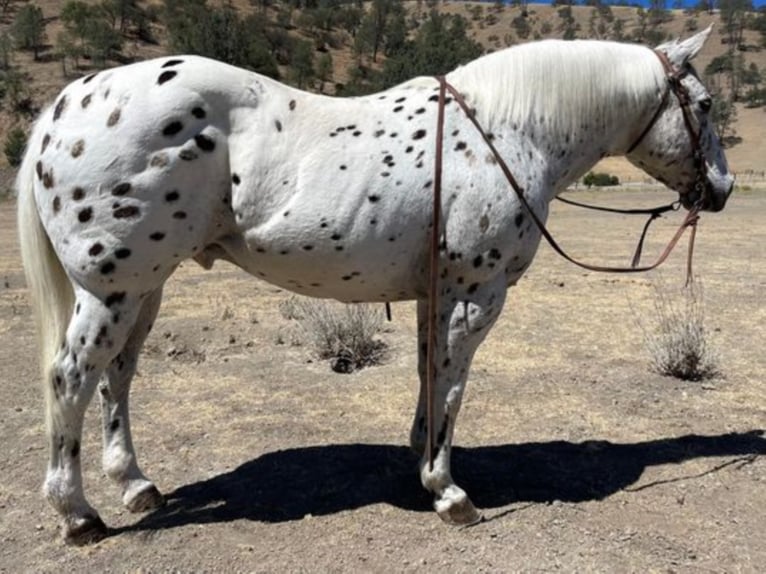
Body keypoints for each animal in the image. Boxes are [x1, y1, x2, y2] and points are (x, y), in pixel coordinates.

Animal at [18, 27, 736, 548]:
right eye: (703, 105)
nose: (723, 190)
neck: (506, 133)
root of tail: (65, 104)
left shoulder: (435, 295)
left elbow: (429, 374)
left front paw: (421, 457)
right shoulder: (475, 295)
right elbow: (452, 386)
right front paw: (447, 491)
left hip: (143, 289)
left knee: (117, 375)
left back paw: (137, 486)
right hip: (112, 290)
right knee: (70, 378)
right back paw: (78, 513)